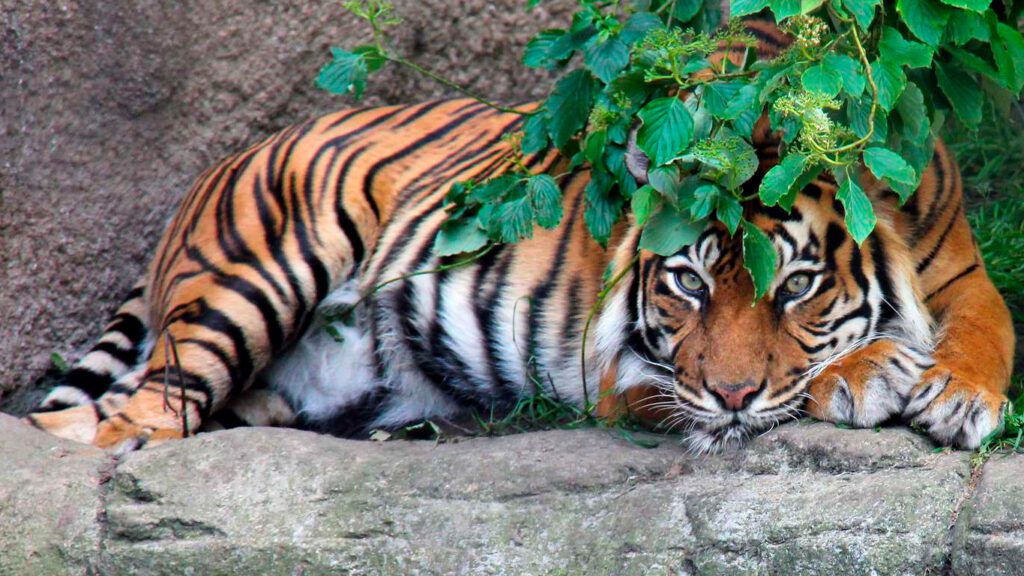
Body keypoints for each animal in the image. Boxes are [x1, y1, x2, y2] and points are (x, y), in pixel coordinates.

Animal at [24, 19, 1015, 453]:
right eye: (688, 285)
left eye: (796, 286)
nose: (729, 395)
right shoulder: (629, 374)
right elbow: (769, 389)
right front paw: (868, 372)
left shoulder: (959, 265)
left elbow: (989, 327)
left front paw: (956, 395)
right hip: (257, 273)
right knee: (116, 419)